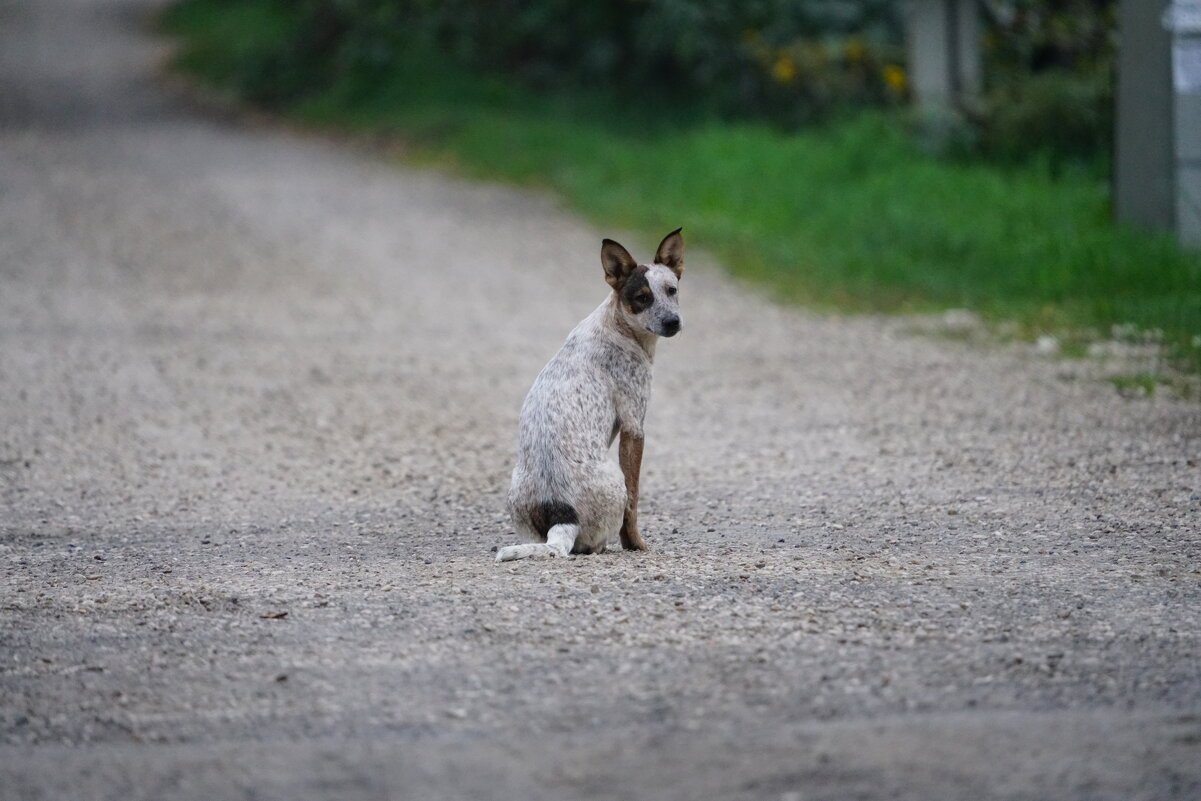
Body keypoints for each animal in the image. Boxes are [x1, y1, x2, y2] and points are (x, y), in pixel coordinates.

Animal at [497, 226, 686, 564]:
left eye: (672, 290)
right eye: (642, 298)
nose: (672, 322)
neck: (619, 325)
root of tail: (562, 516)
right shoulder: (634, 427)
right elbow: (634, 503)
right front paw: (636, 544)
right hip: (615, 480)